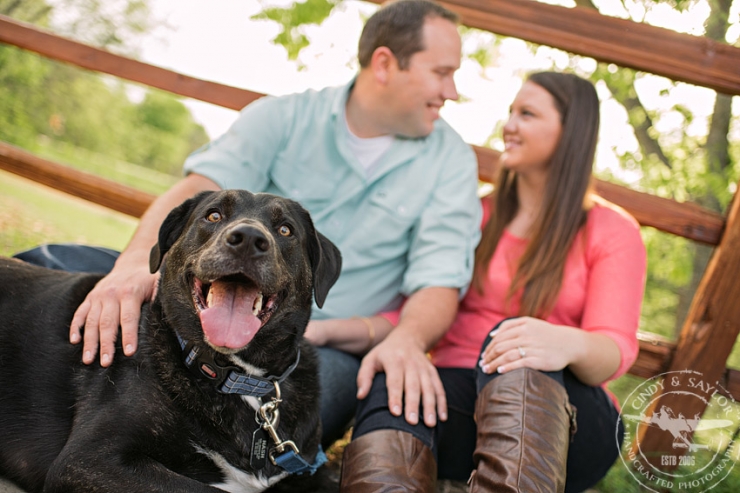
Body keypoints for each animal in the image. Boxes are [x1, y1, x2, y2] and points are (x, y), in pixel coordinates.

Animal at [0, 189, 342, 492]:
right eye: (213, 215)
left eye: (285, 229)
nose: (247, 239)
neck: (241, 378)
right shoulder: (89, 459)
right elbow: (206, 491)